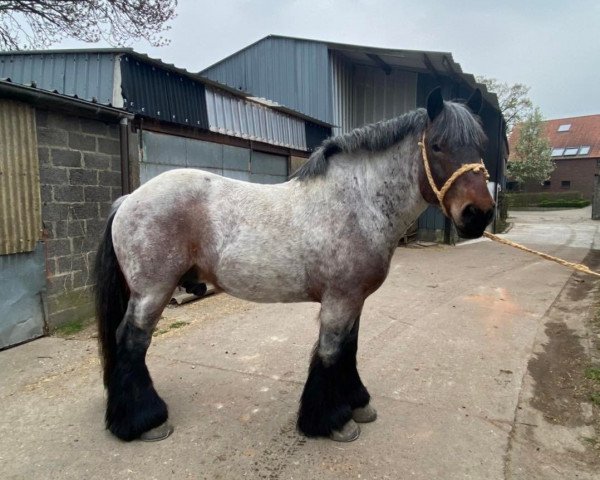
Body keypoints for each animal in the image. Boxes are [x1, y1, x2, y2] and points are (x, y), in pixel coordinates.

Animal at [95, 85, 496, 442]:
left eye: (482, 145)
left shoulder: (354, 300)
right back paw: (144, 421)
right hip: (153, 291)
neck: (357, 203)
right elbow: (331, 353)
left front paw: (357, 404)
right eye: (438, 145)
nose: (477, 214)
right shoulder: (338, 301)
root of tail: (129, 199)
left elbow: (349, 349)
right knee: (132, 341)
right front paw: (332, 421)